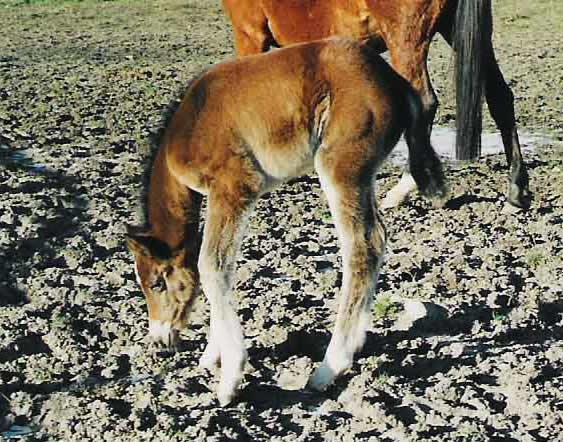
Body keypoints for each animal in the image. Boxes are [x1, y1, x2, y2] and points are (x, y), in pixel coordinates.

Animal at [223, 0, 532, 209]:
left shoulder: (250, 35)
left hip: (407, 40)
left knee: (425, 103)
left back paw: (404, 188)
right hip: (459, 31)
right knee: (500, 97)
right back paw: (517, 190)